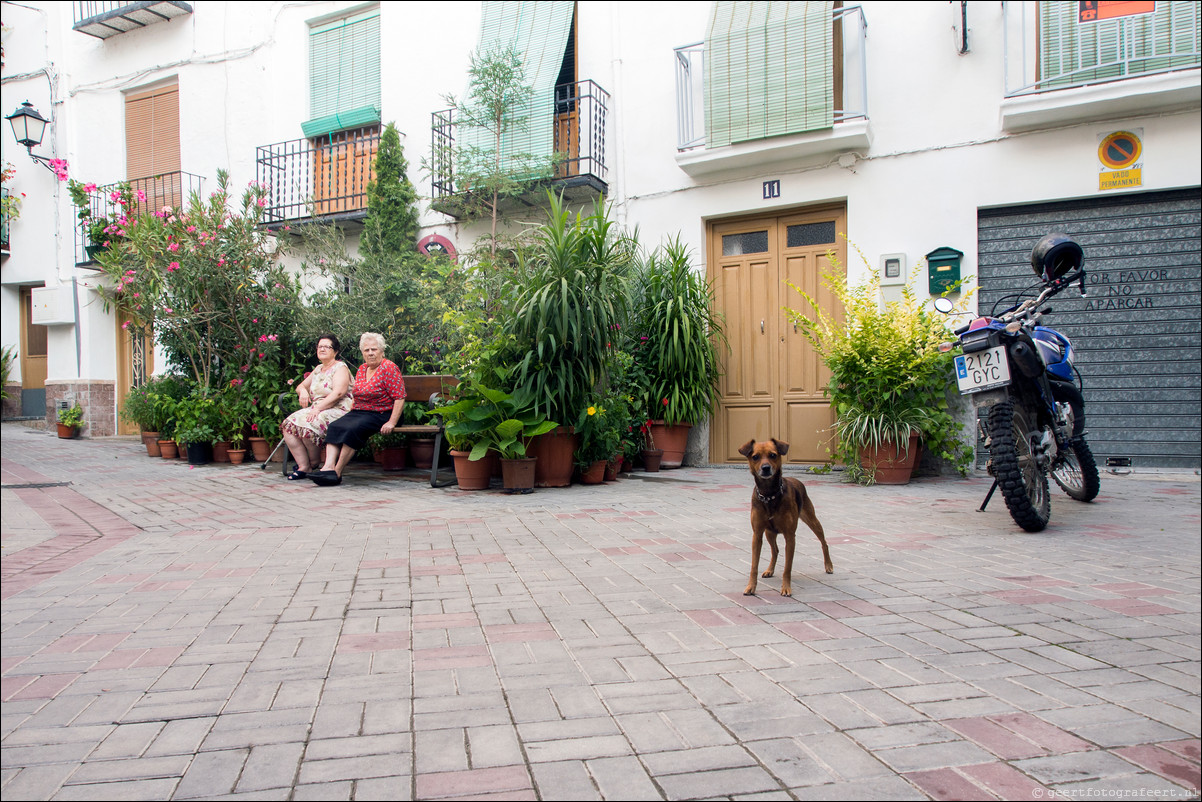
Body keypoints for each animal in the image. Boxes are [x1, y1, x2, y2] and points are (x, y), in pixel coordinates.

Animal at [735, 440, 831, 596]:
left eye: (773, 455)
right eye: (755, 457)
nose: (766, 468)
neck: (769, 495)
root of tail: (794, 479)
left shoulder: (790, 536)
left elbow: (787, 567)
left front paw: (786, 588)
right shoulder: (757, 534)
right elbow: (754, 566)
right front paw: (751, 587)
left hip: (812, 520)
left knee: (824, 542)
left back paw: (829, 565)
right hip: (769, 533)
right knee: (775, 551)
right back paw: (769, 570)